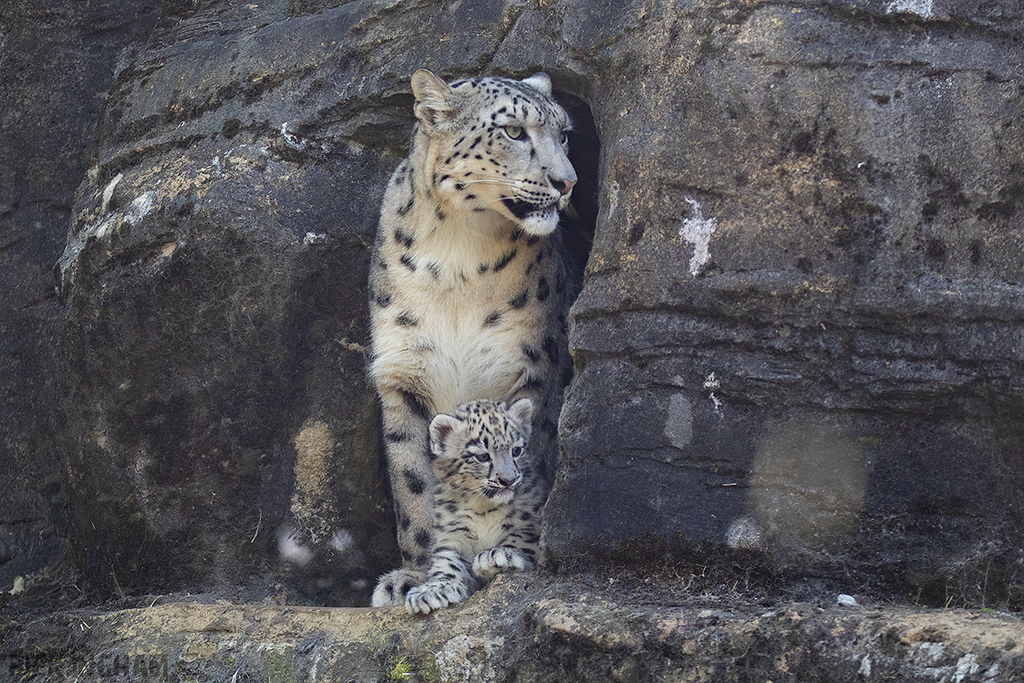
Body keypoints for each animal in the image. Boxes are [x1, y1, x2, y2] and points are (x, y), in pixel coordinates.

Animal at [367, 69, 577, 569]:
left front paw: (509, 550)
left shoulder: (535, 366)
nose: (568, 182)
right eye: (514, 131)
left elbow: (534, 454)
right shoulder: (402, 371)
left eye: (563, 133)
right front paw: (418, 571)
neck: (457, 256)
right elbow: (413, 481)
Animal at [371, 398, 543, 614]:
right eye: (482, 456)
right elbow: (447, 564)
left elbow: (521, 537)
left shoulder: (531, 519)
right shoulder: (452, 535)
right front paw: (430, 592)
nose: (508, 480)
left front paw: (499, 556)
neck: (484, 509)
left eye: (516, 450)